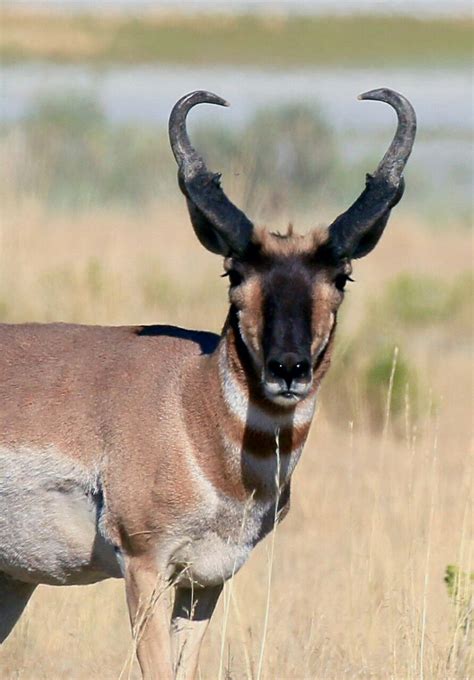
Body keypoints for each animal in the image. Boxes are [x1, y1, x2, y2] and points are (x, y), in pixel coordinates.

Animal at [0, 89, 414, 676]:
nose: (287, 369)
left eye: (343, 276)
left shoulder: (206, 583)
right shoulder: (145, 566)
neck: (191, 402)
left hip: (13, 580)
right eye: (233, 272)